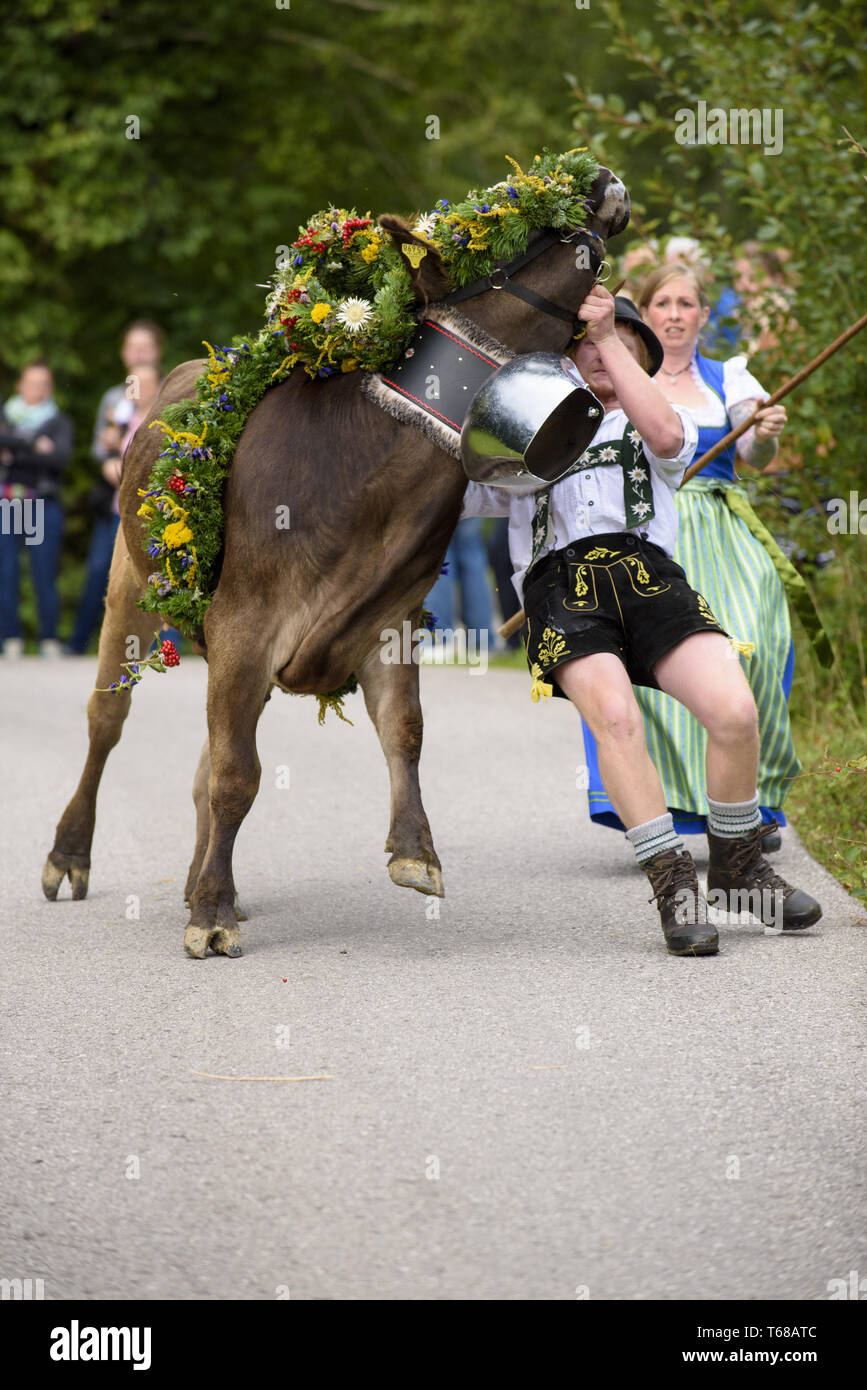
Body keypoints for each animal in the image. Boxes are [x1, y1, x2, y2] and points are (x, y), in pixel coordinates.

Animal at [42, 165, 630, 956]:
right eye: (506, 227)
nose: (596, 176)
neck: (370, 489)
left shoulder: (389, 620)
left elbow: (403, 732)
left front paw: (415, 852)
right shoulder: (245, 624)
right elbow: (238, 775)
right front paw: (211, 917)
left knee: (202, 759)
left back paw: (200, 879)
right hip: (130, 586)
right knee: (107, 720)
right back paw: (71, 858)